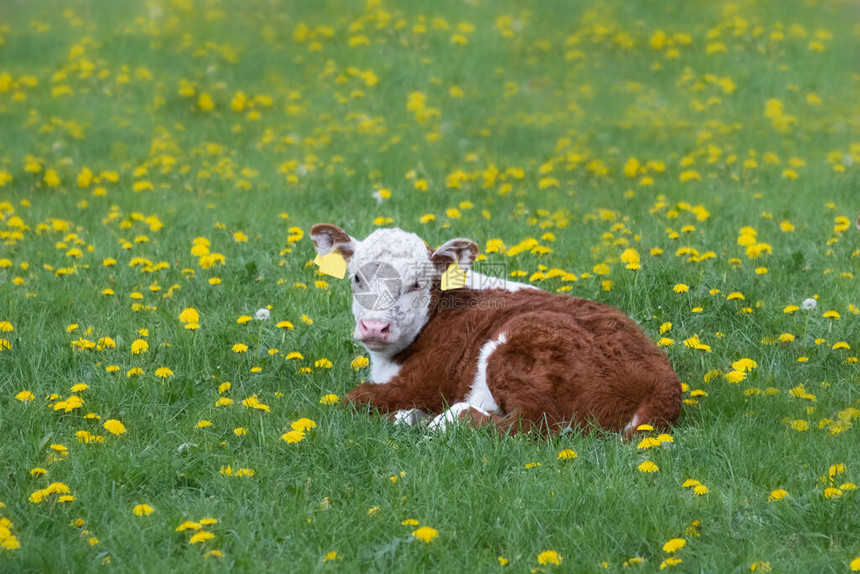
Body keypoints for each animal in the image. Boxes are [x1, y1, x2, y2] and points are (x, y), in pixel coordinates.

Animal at [310, 224, 680, 436]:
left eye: (416, 284)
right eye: (357, 278)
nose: (375, 326)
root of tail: (664, 383)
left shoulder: (423, 383)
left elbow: (355, 399)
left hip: (520, 345)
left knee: (532, 425)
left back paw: (442, 420)